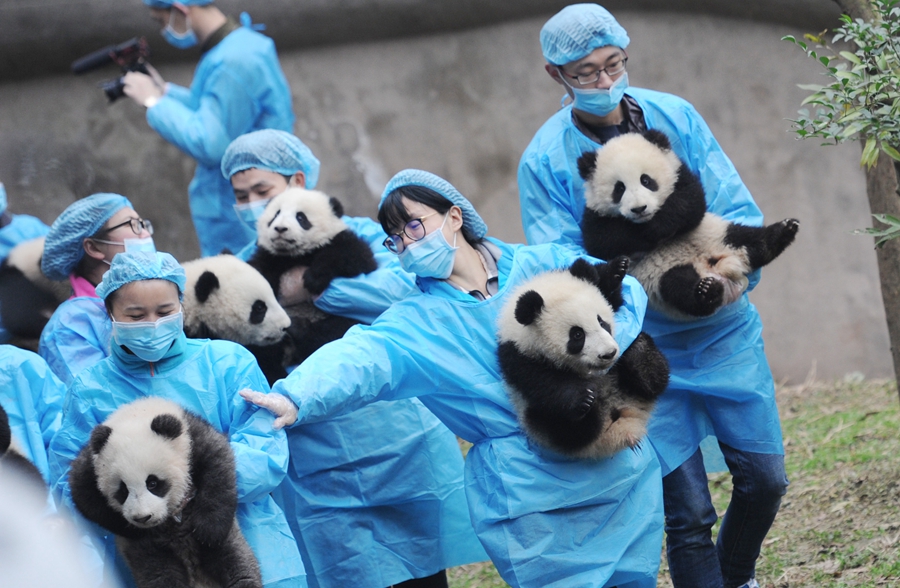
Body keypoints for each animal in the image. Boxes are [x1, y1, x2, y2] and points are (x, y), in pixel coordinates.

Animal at [69, 397, 262, 588]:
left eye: (153, 483)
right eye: (122, 490)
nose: (142, 518)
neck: (137, 413)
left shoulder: (193, 437)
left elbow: (218, 464)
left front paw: (209, 531)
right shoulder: (91, 464)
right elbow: (84, 495)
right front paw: (131, 530)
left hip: (228, 543)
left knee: (237, 564)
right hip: (153, 554)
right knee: (160, 575)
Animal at [247, 187, 377, 363]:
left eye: (301, 217)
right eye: (275, 215)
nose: (280, 228)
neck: (294, 254)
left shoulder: (338, 241)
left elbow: (354, 256)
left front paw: (314, 279)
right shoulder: (270, 257)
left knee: (335, 330)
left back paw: (299, 329)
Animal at [497, 257, 670, 459]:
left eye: (601, 322)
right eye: (577, 335)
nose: (609, 353)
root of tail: (625, 428)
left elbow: (612, 296)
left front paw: (615, 270)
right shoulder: (516, 353)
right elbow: (540, 380)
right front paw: (583, 398)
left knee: (654, 378)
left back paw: (639, 352)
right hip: (536, 417)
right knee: (563, 428)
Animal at [578, 129, 800, 320]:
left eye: (646, 180)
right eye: (619, 188)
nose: (639, 208)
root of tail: (715, 267)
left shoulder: (680, 176)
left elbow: (691, 203)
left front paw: (659, 225)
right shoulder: (594, 214)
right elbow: (602, 241)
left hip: (715, 233)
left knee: (746, 239)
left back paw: (782, 232)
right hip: (660, 275)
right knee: (679, 288)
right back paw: (707, 292)